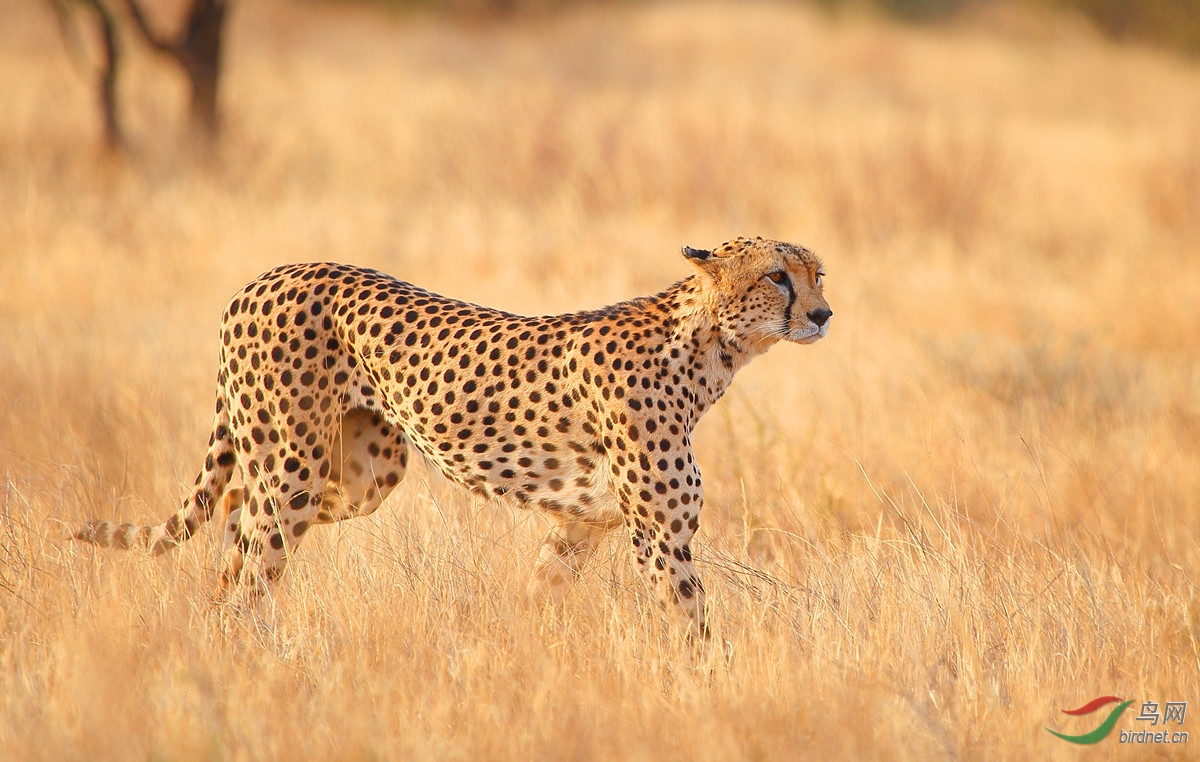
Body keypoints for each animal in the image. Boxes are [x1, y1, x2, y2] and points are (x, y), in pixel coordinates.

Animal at [72, 235, 825, 633]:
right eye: (777, 276)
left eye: (817, 274)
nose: (823, 314)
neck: (709, 350)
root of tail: (267, 275)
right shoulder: (659, 537)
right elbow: (693, 626)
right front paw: (711, 686)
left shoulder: (580, 525)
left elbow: (541, 593)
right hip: (293, 469)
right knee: (256, 551)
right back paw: (240, 641)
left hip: (361, 475)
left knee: (235, 514)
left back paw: (213, 615)